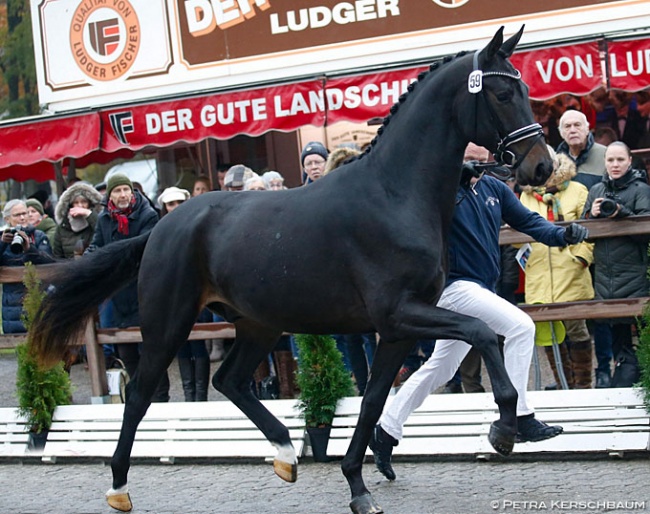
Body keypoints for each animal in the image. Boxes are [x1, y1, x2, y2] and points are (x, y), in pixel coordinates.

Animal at [29, 26, 548, 510]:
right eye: (503, 94)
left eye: (524, 88)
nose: (541, 167)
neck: (394, 195)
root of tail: (162, 224)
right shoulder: (400, 314)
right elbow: (482, 332)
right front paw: (504, 428)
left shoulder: (398, 330)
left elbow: (373, 401)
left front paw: (358, 486)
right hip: (169, 323)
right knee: (140, 394)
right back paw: (119, 488)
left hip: (259, 324)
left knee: (228, 380)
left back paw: (284, 453)